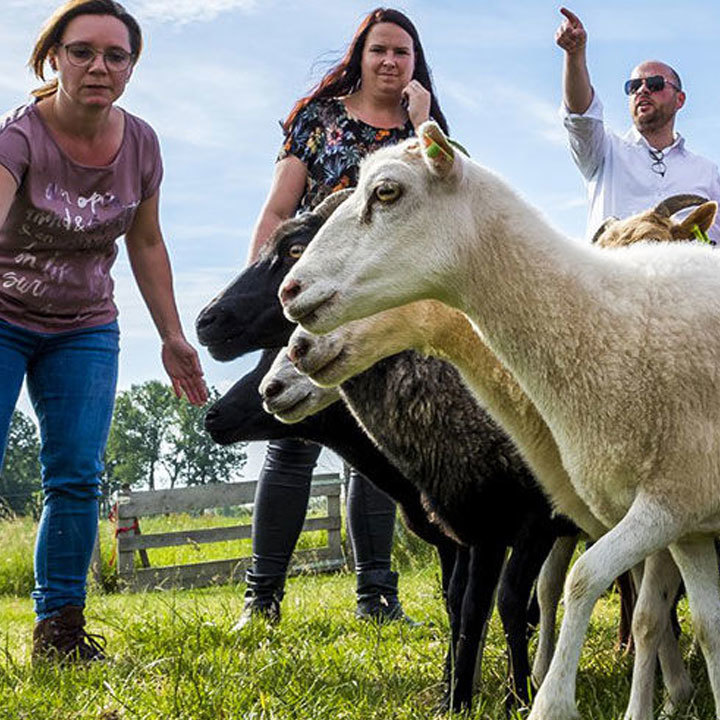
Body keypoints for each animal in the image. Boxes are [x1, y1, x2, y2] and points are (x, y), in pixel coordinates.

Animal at [278, 124, 720, 720]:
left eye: (386, 192)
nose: (290, 293)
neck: (613, 325)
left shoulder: (668, 500)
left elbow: (591, 584)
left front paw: (554, 698)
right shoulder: (684, 521)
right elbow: (704, 625)